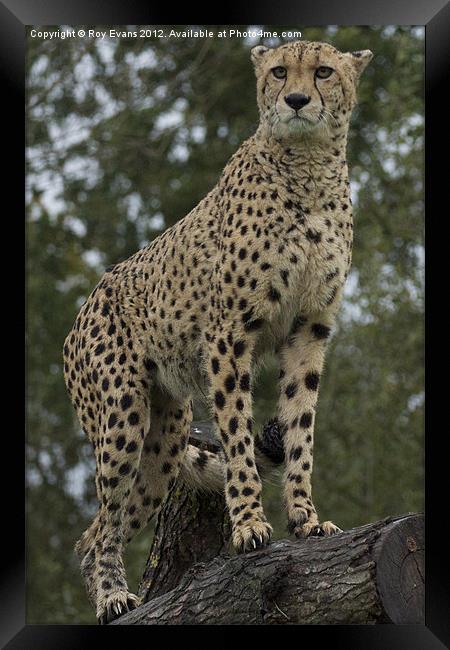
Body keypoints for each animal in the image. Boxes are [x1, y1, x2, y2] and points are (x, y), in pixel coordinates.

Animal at [63, 39, 372, 616]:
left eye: (323, 71)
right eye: (279, 72)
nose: (297, 100)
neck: (310, 166)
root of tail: (84, 307)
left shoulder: (309, 328)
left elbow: (300, 426)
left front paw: (306, 519)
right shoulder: (229, 333)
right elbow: (237, 435)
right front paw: (250, 525)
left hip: (164, 436)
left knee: (104, 522)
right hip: (122, 414)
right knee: (98, 529)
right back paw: (113, 596)